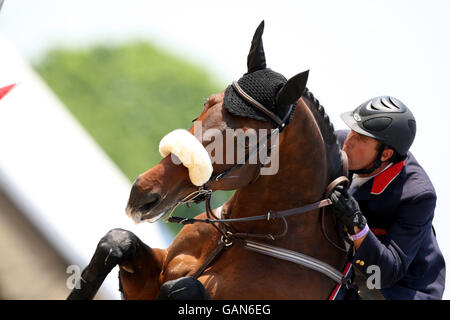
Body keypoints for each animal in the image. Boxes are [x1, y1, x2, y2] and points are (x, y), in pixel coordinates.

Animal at [67, 21, 348, 300]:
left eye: (245, 140)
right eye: (207, 102)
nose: (142, 193)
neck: (235, 236)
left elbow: (181, 288)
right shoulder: (152, 278)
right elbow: (116, 241)